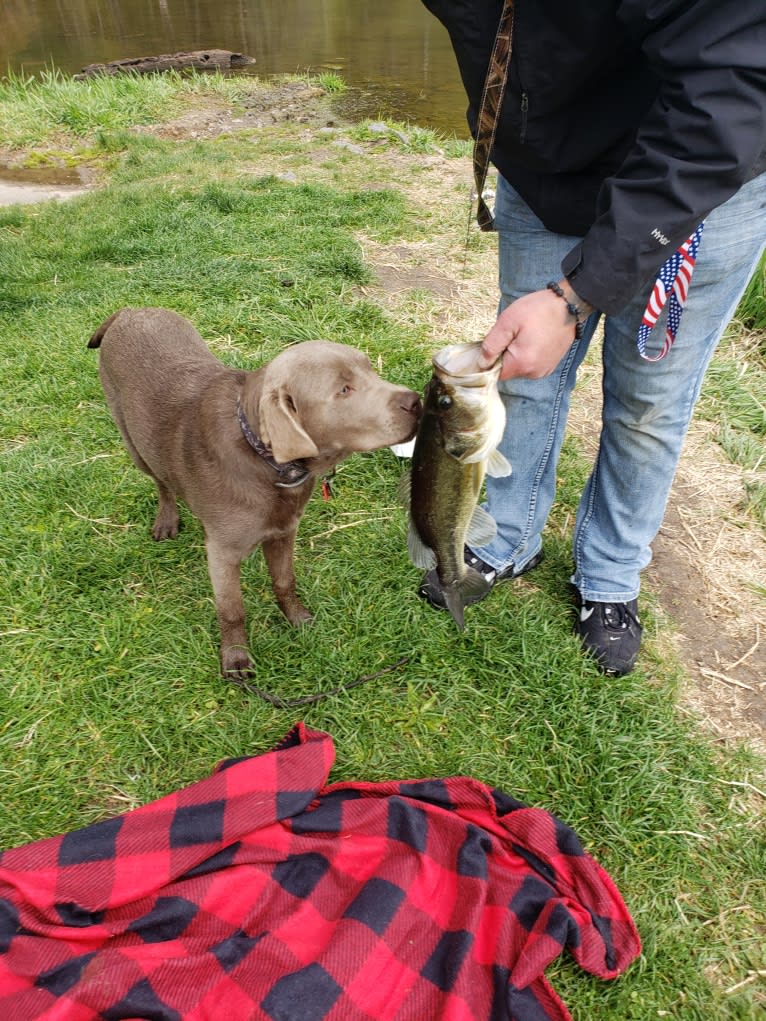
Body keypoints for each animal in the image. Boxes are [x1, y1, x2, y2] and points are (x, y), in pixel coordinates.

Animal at [92, 306, 422, 682]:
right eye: (343, 390)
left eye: (370, 368)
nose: (416, 400)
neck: (269, 462)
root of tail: (131, 310)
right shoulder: (222, 553)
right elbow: (232, 609)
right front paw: (236, 659)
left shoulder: (283, 531)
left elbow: (284, 581)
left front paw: (298, 619)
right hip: (135, 444)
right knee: (162, 481)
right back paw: (166, 521)